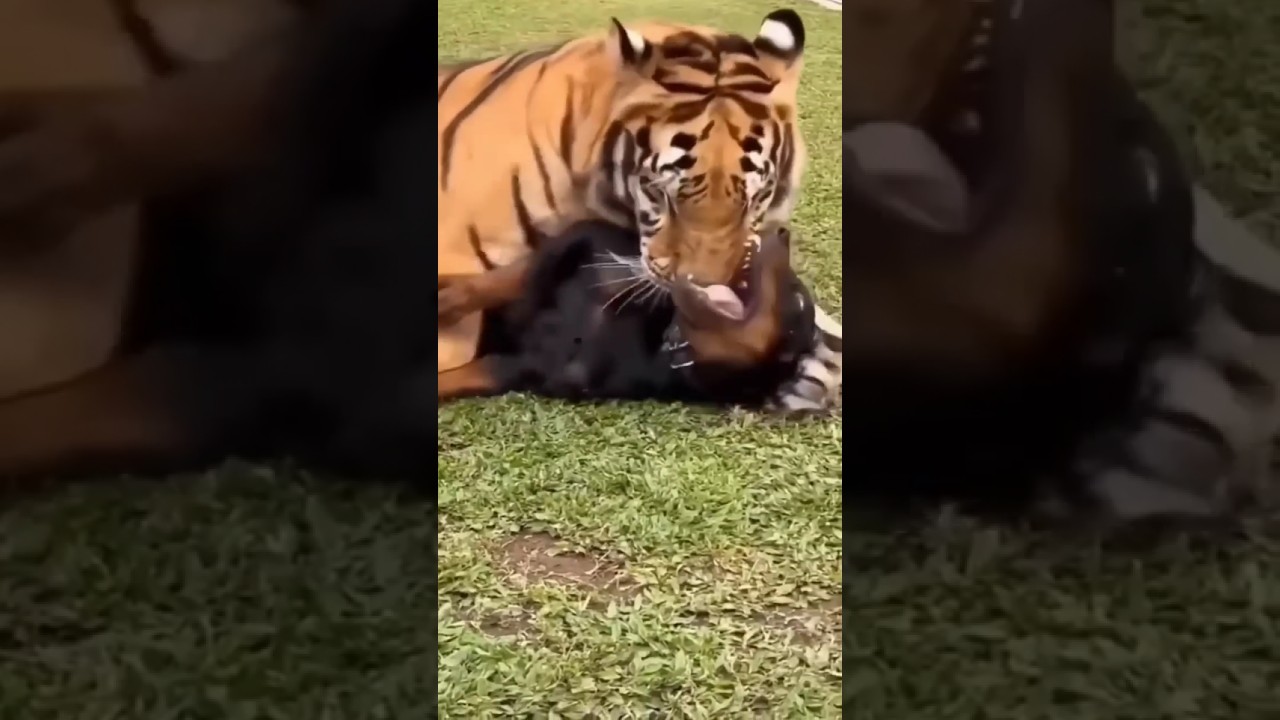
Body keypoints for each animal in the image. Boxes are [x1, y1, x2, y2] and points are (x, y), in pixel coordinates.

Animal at [436, 9, 842, 412]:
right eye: (662, 195)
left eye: (754, 200)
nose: (782, 238)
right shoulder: (572, 243)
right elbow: (495, 285)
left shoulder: (525, 363)